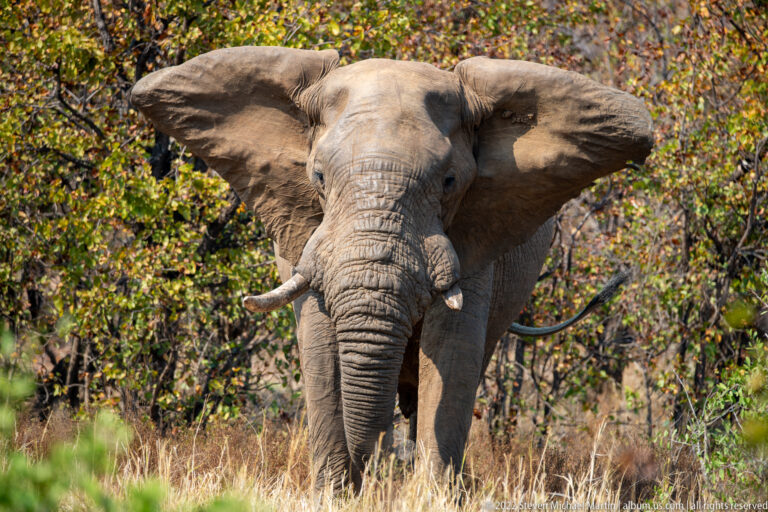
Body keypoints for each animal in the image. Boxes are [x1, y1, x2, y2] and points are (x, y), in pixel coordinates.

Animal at [130, 46, 652, 492]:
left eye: (450, 181)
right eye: (318, 177)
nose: (372, 474)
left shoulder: (477, 230)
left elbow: (451, 352)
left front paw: (431, 495)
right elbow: (320, 347)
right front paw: (335, 493)